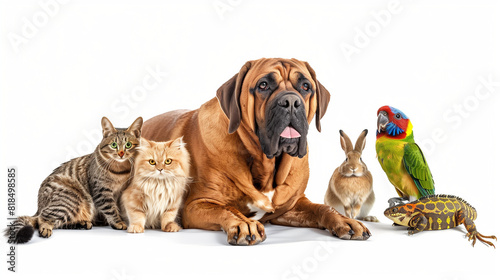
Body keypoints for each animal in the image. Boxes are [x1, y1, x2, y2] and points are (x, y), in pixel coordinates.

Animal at [5, 116, 143, 243]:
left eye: (128, 145)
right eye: (114, 145)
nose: (121, 153)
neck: (120, 170)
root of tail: (38, 207)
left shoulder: (121, 191)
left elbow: (119, 207)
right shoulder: (101, 191)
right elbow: (110, 208)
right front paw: (118, 222)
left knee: (59, 223)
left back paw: (82, 223)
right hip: (71, 198)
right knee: (43, 218)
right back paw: (46, 228)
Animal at [143, 58, 370, 244]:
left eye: (305, 86)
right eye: (263, 85)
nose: (291, 101)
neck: (265, 166)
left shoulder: (293, 205)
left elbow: (322, 207)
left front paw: (345, 220)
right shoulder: (198, 205)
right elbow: (228, 209)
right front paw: (243, 223)